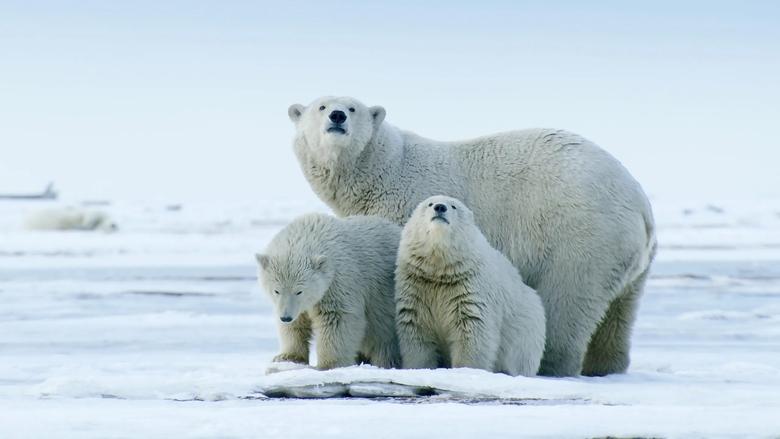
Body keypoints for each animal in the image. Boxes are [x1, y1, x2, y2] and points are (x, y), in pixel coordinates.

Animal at [286, 97, 652, 378]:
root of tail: (639, 202)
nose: (337, 116)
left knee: (567, 300)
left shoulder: (403, 212)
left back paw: (551, 366)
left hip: (581, 236)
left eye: (353, 107)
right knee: (619, 315)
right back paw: (606, 367)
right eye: (321, 106)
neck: (383, 169)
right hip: (629, 261)